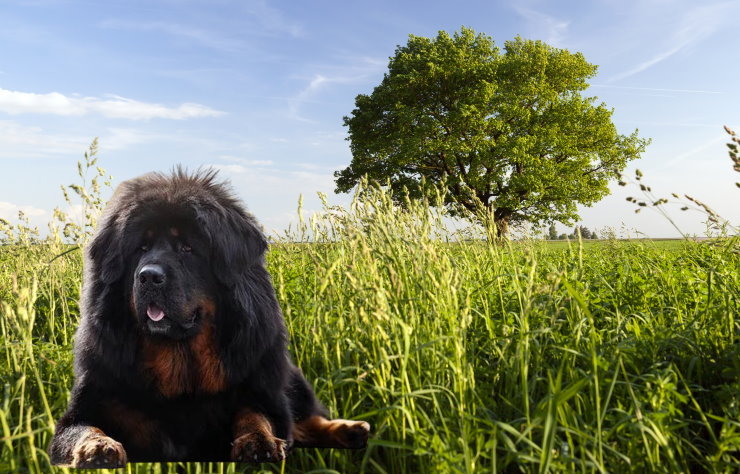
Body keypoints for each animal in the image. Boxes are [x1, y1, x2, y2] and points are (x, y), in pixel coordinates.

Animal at [47, 169, 368, 466]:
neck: (180, 362)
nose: (148, 276)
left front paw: (258, 441)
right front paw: (97, 448)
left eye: (188, 248)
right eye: (141, 248)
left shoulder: (263, 391)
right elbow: (83, 429)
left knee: (306, 418)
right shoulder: (90, 404)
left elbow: (256, 415)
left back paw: (352, 430)